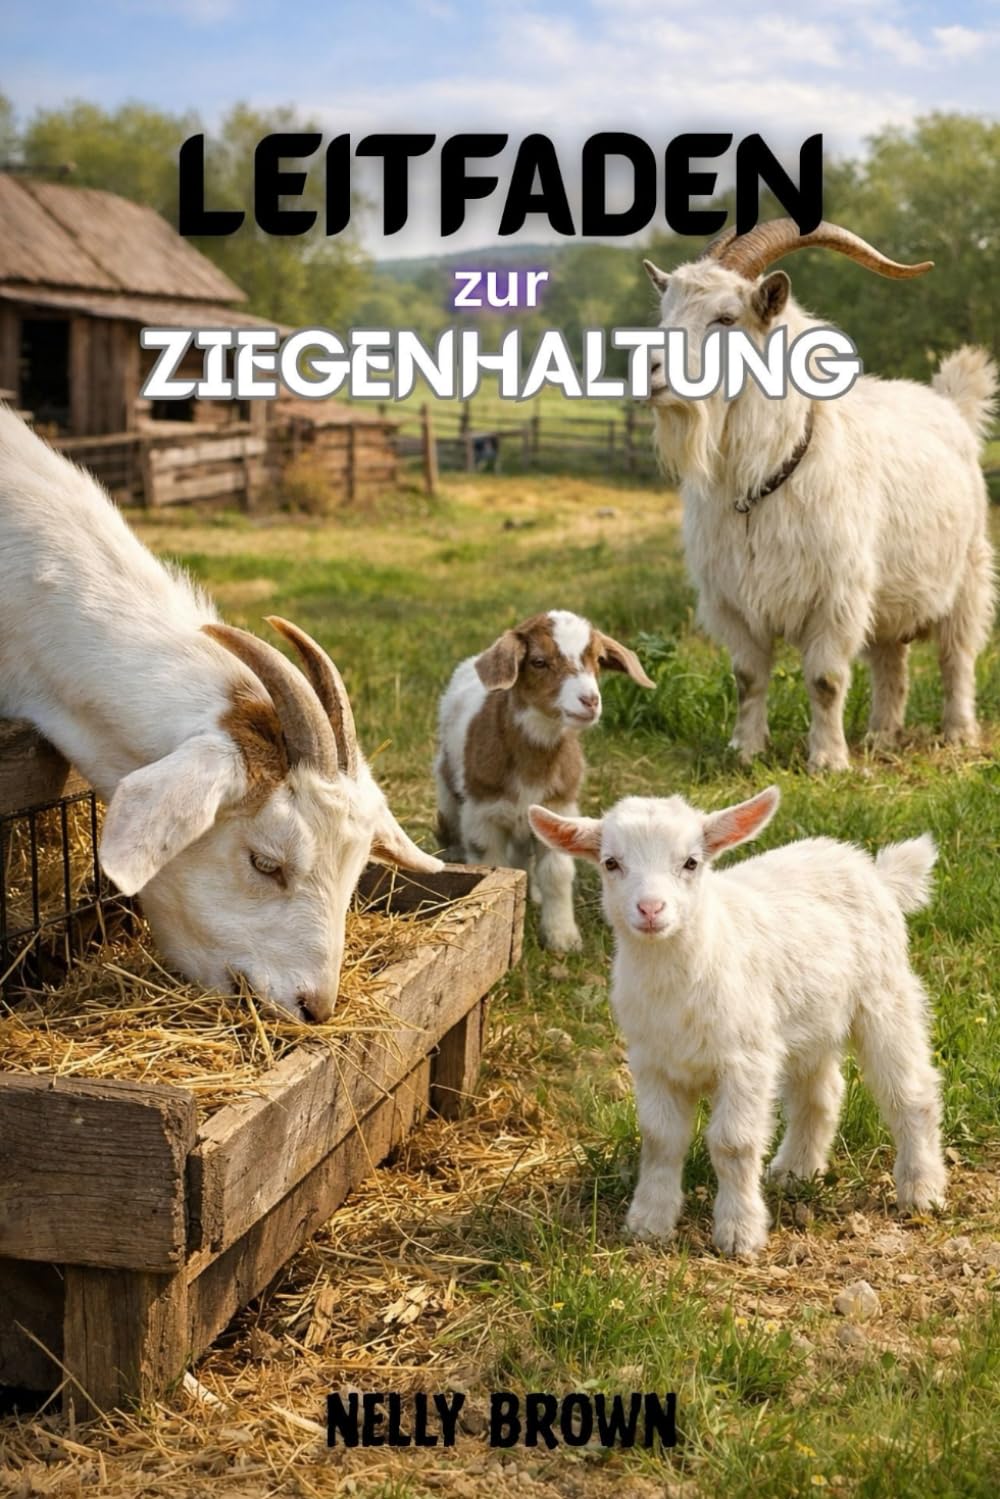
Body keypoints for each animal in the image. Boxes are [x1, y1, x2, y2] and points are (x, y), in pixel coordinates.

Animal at [435, 610, 653, 952]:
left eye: (597, 659)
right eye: (538, 661)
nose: (589, 700)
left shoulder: (558, 807)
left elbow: (557, 875)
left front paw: (562, 938)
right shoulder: (483, 814)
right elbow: (493, 862)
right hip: (448, 791)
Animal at [530, 786, 947, 1256]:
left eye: (691, 862)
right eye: (610, 863)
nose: (651, 909)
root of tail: (875, 871)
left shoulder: (746, 1059)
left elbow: (733, 1143)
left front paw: (738, 1232)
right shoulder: (652, 1061)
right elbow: (660, 1138)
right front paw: (649, 1222)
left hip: (883, 997)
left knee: (910, 1091)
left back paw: (921, 1188)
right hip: (806, 1021)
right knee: (820, 1093)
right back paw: (795, 1170)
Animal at [643, 220, 997, 771]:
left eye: (726, 317)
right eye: (665, 313)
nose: (651, 370)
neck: (759, 481)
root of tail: (948, 404)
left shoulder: (836, 595)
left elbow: (825, 680)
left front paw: (827, 761)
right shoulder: (732, 599)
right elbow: (748, 678)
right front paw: (746, 751)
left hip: (968, 574)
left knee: (956, 655)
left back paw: (958, 733)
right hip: (888, 595)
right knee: (891, 659)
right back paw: (881, 735)